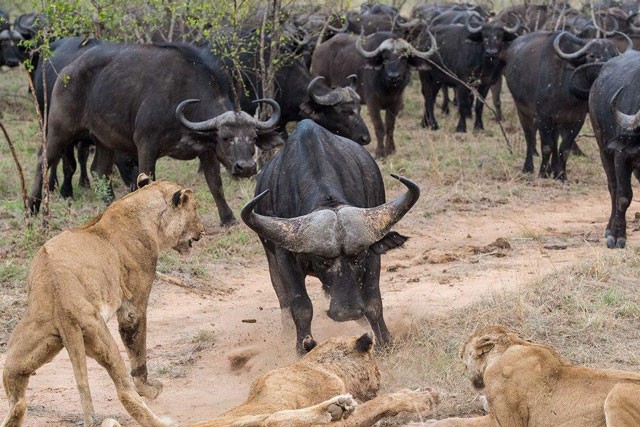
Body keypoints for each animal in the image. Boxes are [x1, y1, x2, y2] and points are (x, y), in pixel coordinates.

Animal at [0, 175, 205, 427]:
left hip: (24, 350)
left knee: (17, 401)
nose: (203, 230)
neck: (141, 206)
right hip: (98, 332)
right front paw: (148, 388)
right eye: (195, 208)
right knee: (125, 392)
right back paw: (162, 422)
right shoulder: (133, 305)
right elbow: (138, 355)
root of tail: (63, 307)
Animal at [241, 120, 420, 354]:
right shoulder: (285, 258)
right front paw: (302, 347)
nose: (347, 313)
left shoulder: (373, 252)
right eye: (322, 261)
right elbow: (301, 306)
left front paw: (385, 342)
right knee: (283, 299)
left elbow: (373, 301)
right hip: (271, 258)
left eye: (358, 258)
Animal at [502, 30, 624, 181]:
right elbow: (546, 146)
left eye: (615, 55)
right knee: (530, 137)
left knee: (553, 141)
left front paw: (561, 175)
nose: (607, 67)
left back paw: (553, 169)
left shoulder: (577, 119)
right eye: (592, 55)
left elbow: (564, 149)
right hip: (523, 111)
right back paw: (528, 167)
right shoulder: (543, 116)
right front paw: (542, 173)